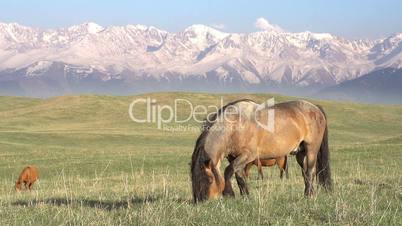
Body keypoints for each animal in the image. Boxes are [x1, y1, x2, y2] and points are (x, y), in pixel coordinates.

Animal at [190, 100, 332, 202]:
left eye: (209, 180)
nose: (202, 201)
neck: (235, 125)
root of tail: (315, 107)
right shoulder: (234, 157)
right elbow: (240, 176)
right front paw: (246, 197)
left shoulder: (248, 155)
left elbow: (228, 171)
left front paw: (229, 194)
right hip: (300, 153)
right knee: (305, 173)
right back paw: (307, 194)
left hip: (311, 150)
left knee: (310, 172)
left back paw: (309, 196)